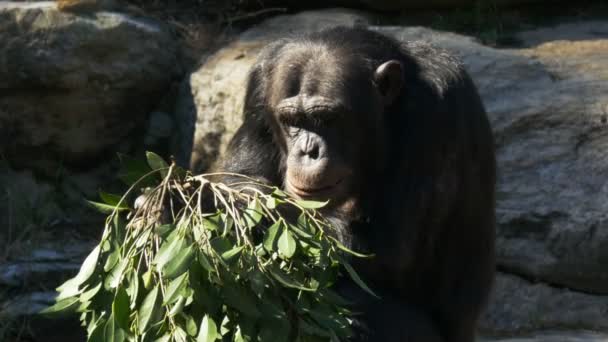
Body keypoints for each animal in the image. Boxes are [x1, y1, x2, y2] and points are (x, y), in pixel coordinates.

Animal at [214, 26, 494, 342]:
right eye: (291, 120)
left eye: (327, 119)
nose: (308, 151)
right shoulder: (258, 92)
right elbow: (240, 174)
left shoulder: (436, 113)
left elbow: (389, 247)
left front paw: (248, 207)